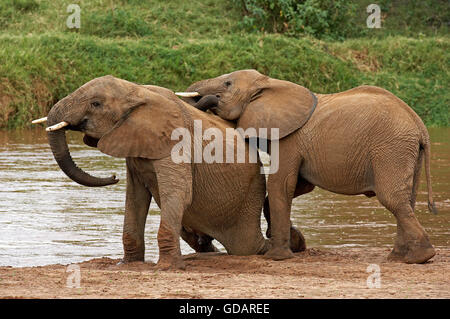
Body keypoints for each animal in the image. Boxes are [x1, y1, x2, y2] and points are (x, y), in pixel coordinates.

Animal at [37, 76, 292, 272]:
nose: (113, 177)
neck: (137, 91)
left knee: (246, 246)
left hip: (250, 196)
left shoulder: (176, 143)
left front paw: (167, 268)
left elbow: (178, 194)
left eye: (96, 103)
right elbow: (135, 199)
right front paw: (126, 265)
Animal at [178, 70, 438, 264]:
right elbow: (299, 187)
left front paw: (277, 257)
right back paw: (398, 257)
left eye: (227, 83)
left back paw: (418, 258)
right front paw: (294, 242)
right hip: (403, 151)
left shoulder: (289, 139)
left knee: (392, 199)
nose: (207, 101)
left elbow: (280, 184)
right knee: (406, 200)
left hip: (391, 148)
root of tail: (420, 125)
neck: (270, 83)